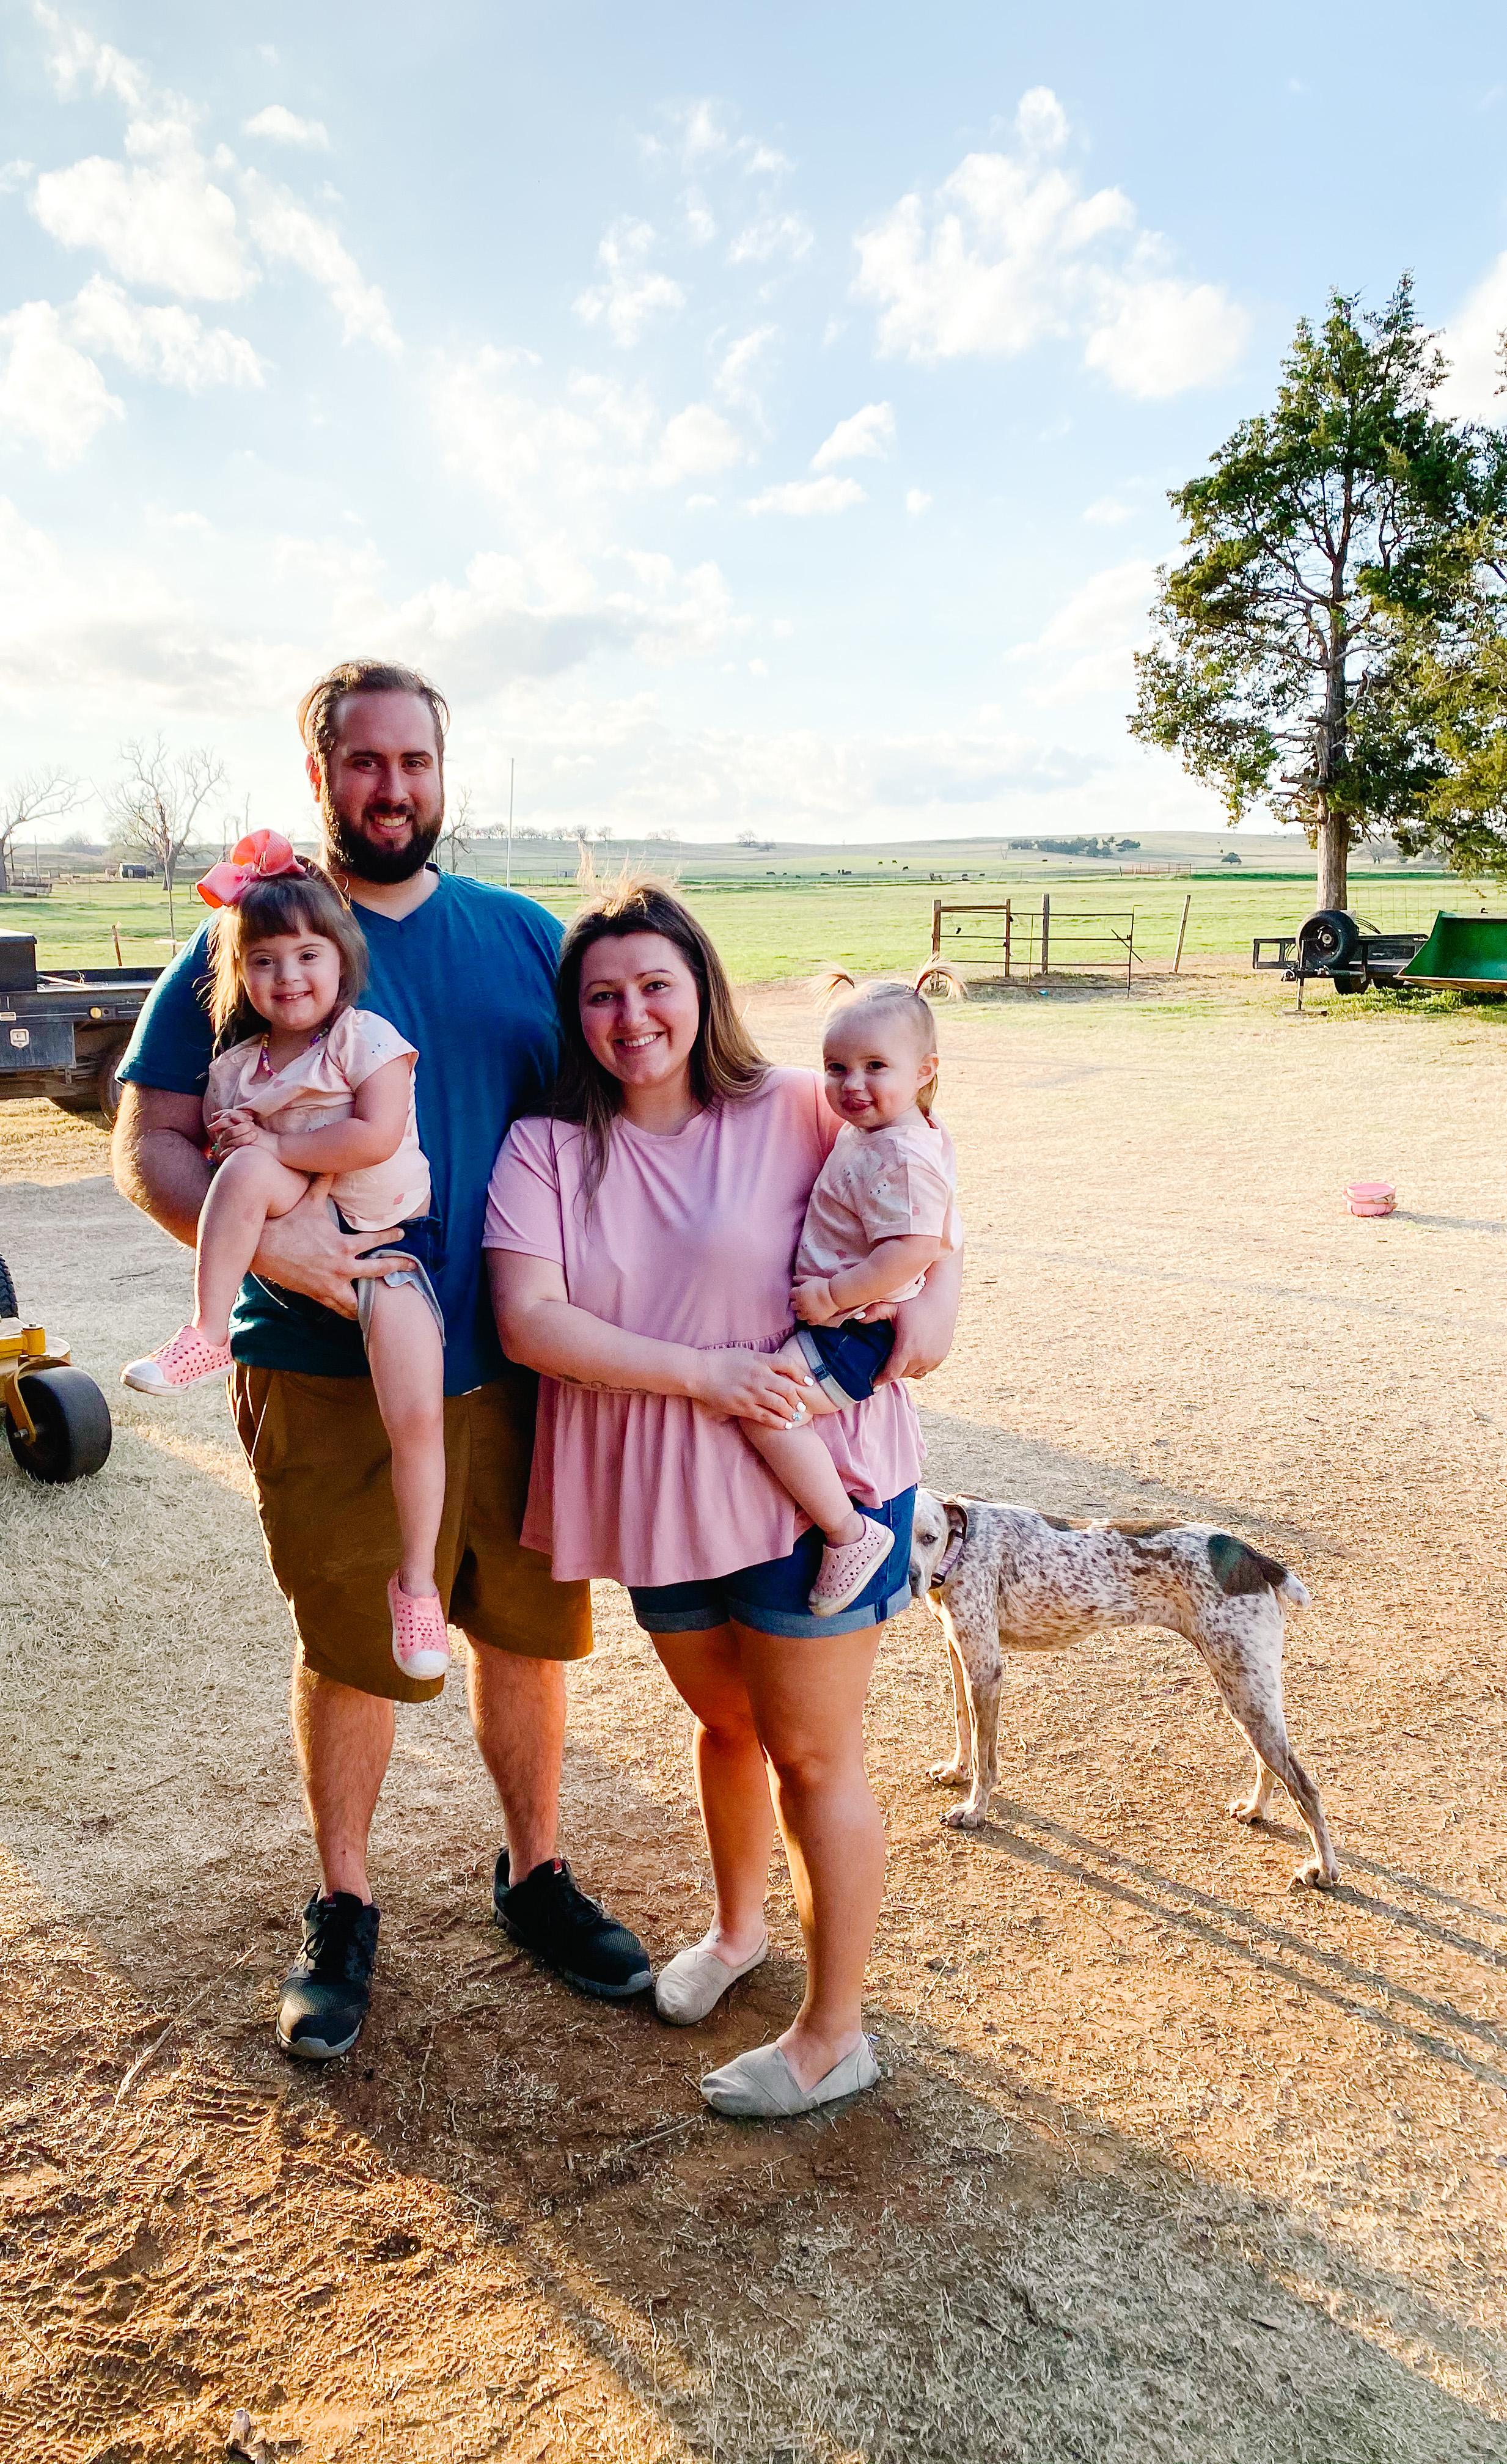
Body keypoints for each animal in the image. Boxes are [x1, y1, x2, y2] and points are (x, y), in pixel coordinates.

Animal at [908, 1489, 1338, 1888]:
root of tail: (1255, 1559)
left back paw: (1324, 1869)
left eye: (929, 1537)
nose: (910, 1579)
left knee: (1305, 1788)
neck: (961, 1547)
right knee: (1272, 1764)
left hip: (1243, 1689)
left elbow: (986, 1759)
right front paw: (956, 1771)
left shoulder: (986, 1669)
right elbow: (963, 1726)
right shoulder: (960, 1653)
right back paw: (1255, 1810)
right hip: (1248, 1693)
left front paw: (975, 1811)